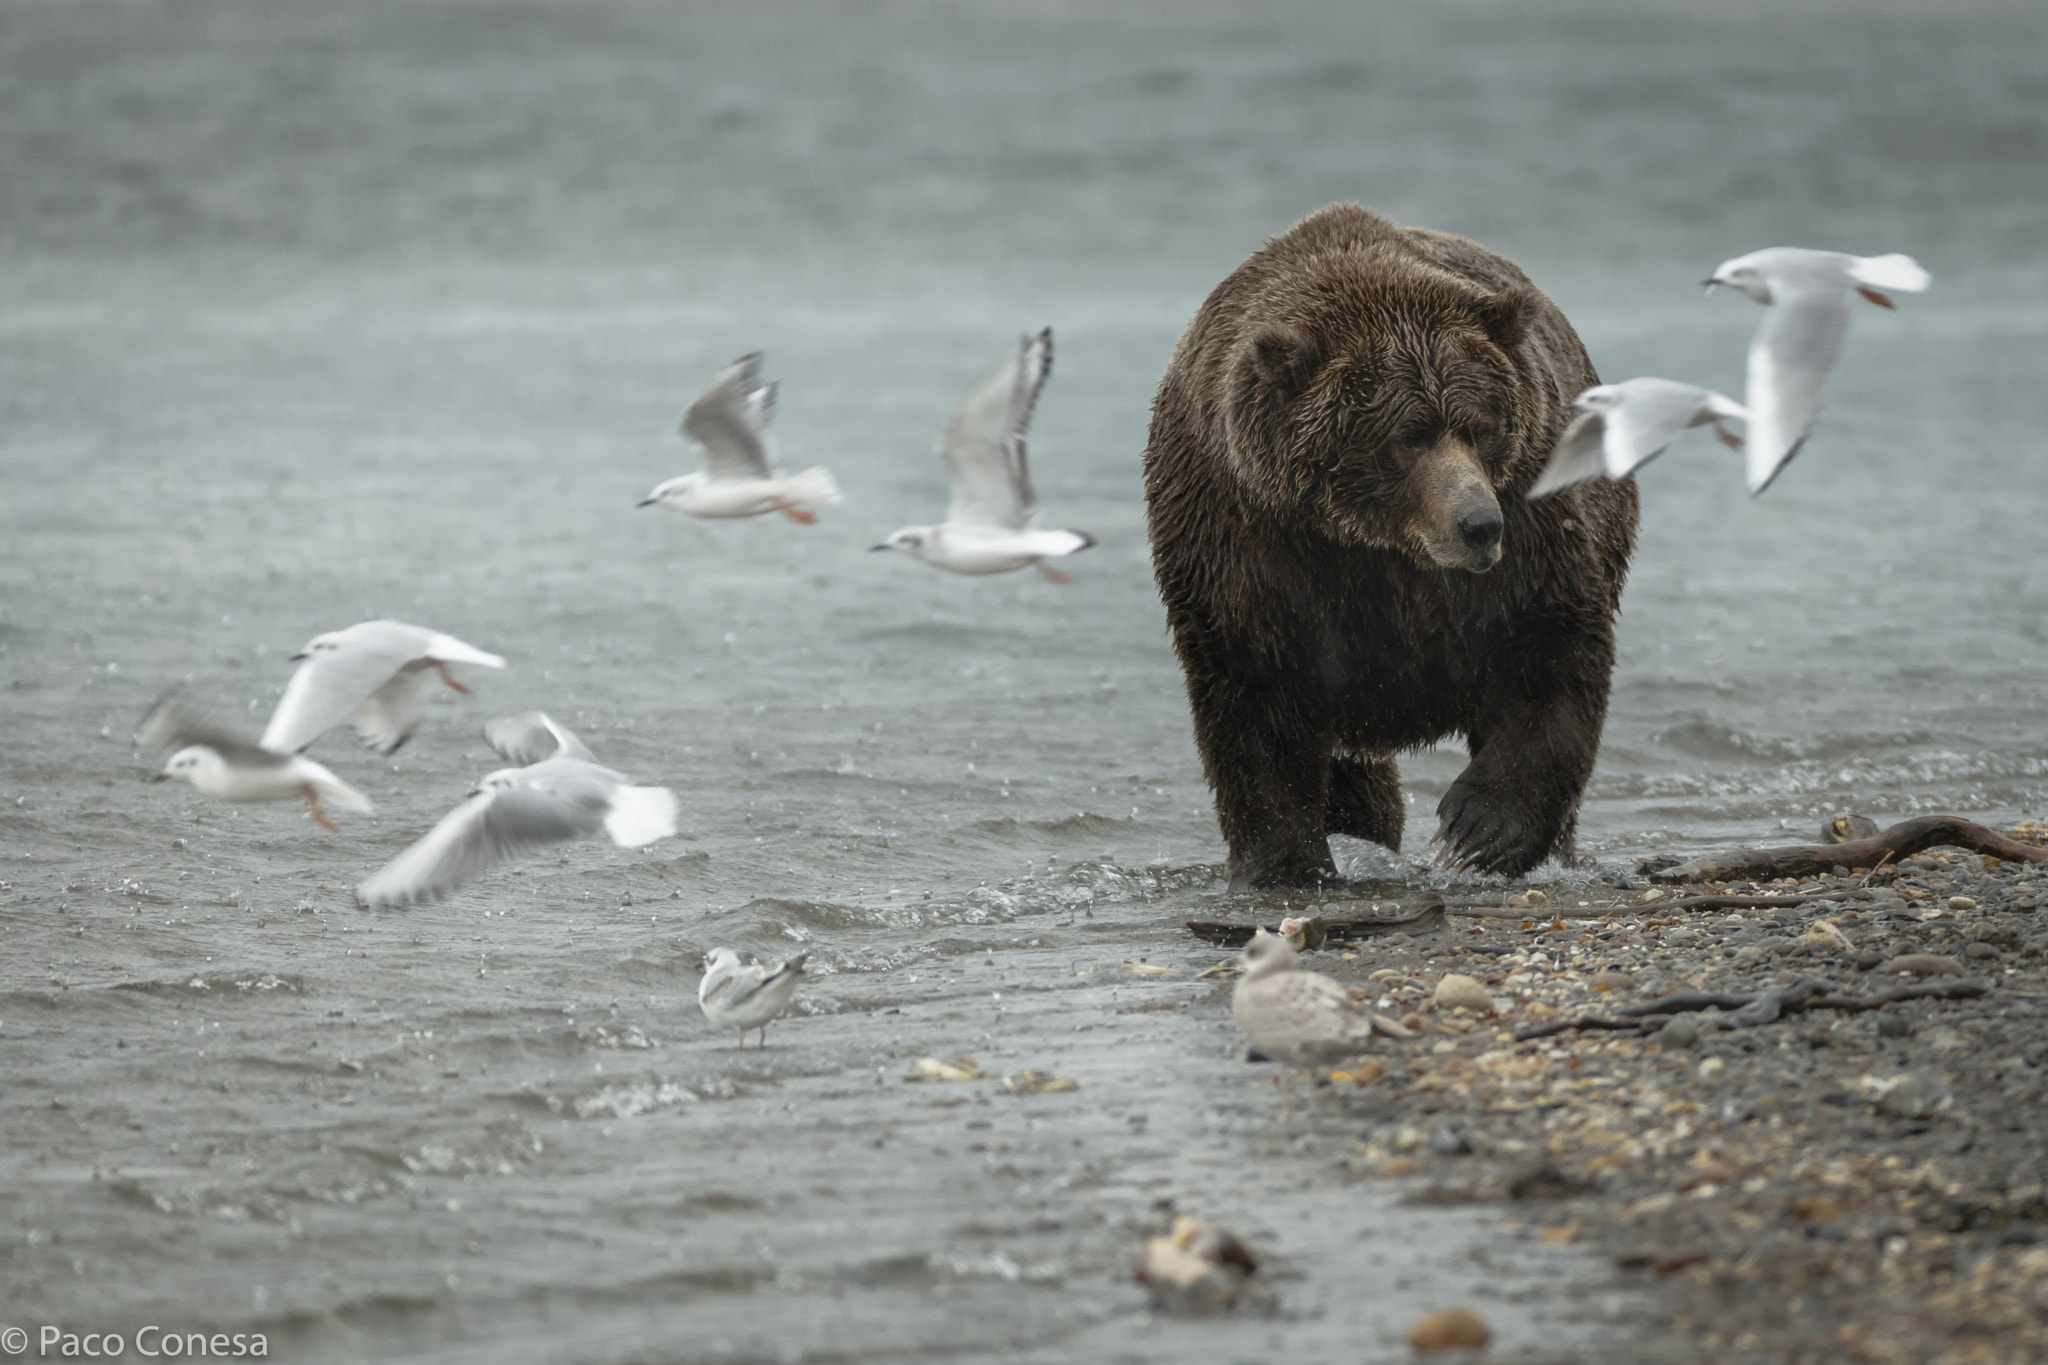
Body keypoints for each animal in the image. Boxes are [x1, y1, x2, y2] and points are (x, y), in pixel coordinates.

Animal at [1143, 203, 1638, 890]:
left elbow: (1551, 655)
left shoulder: (1530, 535)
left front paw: (1475, 833)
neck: (1374, 545)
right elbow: (1254, 706)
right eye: (1409, 437)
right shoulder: (1248, 547)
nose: (1479, 524)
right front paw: (1282, 864)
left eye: (1479, 427)